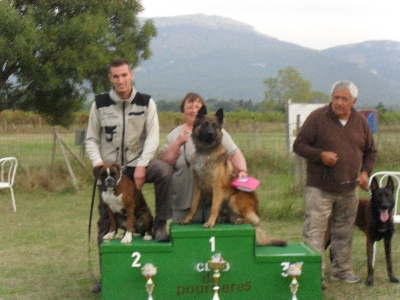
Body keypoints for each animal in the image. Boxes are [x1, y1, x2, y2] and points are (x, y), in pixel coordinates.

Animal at [180, 105, 286, 246]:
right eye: (205, 124)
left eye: (215, 125)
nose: (211, 133)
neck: (206, 152)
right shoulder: (197, 187)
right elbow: (192, 207)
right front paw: (187, 220)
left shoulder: (217, 187)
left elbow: (214, 207)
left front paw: (210, 222)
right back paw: (225, 218)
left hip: (233, 200)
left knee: (253, 221)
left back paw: (238, 220)